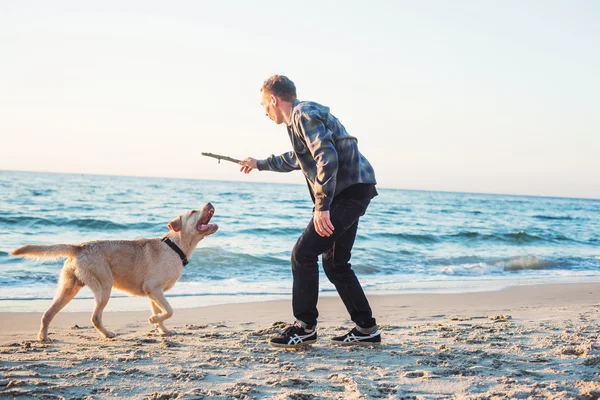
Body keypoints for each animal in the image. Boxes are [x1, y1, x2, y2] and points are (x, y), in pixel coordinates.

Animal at [9, 203, 219, 340]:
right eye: (193, 211)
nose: (209, 203)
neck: (175, 246)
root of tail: (79, 247)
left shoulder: (154, 294)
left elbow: (163, 312)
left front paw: (163, 330)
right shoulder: (153, 288)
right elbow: (169, 310)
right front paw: (153, 320)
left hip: (68, 288)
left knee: (47, 313)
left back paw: (43, 337)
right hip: (104, 285)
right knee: (95, 317)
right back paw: (107, 334)